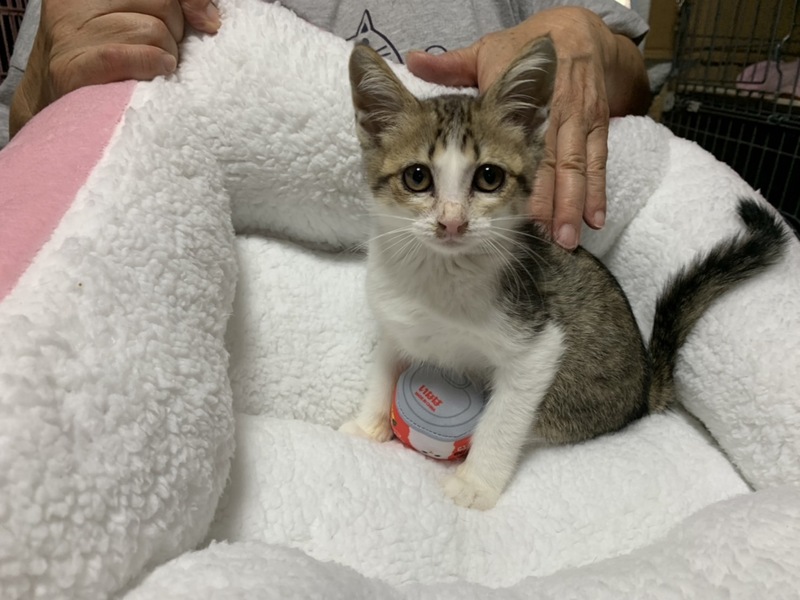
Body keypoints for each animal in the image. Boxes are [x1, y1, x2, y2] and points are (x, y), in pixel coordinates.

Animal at [340, 38, 789, 510]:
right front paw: (366, 426)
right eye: (417, 177)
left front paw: (475, 483)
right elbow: (385, 363)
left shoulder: (537, 344)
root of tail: (646, 385)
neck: (439, 275)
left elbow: (504, 416)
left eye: (488, 177)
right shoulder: (394, 317)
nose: (452, 223)